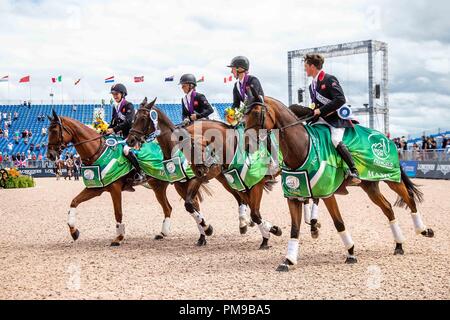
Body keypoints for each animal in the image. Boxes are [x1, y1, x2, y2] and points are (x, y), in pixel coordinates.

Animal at [45, 109, 213, 246]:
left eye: (55, 130)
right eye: (47, 131)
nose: (50, 155)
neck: (97, 151)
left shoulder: (115, 188)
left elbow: (118, 212)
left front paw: (118, 238)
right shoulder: (97, 188)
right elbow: (74, 201)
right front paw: (74, 232)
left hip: (181, 183)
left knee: (193, 204)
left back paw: (203, 234)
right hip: (159, 186)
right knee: (169, 208)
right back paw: (164, 233)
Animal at [125, 97, 284, 250]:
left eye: (143, 118)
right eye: (134, 118)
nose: (130, 140)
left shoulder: (196, 180)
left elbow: (190, 205)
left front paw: (207, 230)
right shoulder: (180, 185)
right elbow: (192, 207)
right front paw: (203, 234)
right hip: (224, 178)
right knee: (240, 199)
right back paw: (244, 223)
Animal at [244, 89, 434, 272]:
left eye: (256, 113)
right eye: (244, 114)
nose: (247, 144)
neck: (302, 147)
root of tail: (387, 139)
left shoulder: (327, 193)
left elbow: (339, 223)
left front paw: (350, 252)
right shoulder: (294, 196)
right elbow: (294, 229)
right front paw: (288, 260)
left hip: (391, 177)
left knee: (409, 199)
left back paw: (423, 230)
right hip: (370, 186)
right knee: (387, 208)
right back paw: (399, 244)